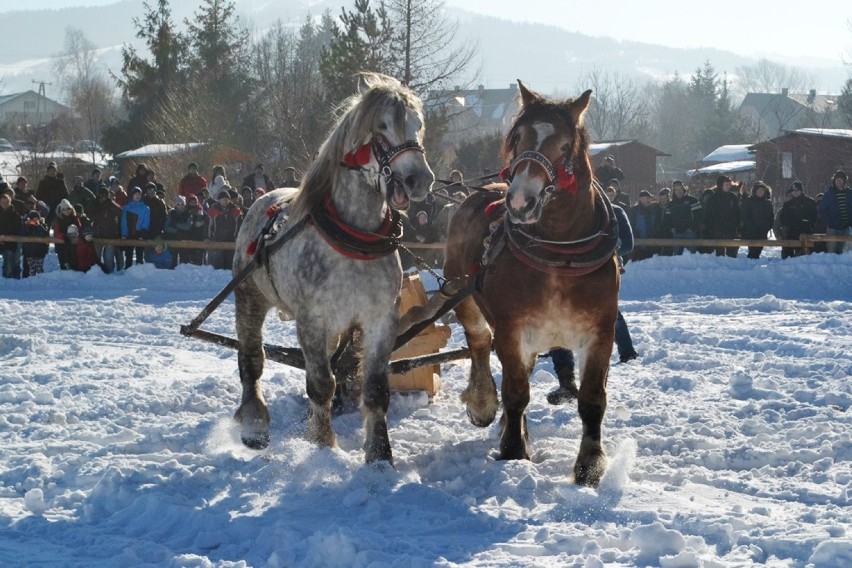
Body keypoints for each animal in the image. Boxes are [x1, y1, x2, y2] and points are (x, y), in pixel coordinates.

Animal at [231, 73, 432, 464]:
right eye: (382, 126)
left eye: (417, 125)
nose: (420, 179)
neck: (354, 236)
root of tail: (264, 197)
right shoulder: (311, 319)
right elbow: (322, 385)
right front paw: (323, 445)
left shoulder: (379, 318)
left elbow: (375, 390)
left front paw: (379, 456)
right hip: (250, 297)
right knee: (252, 360)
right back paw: (254, 424)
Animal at [442, 82, 616, 486]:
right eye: (518, 137)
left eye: (565, 146)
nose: (520, 200)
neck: (561, 256)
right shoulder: (512, 329)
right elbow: (516, 393)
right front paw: (513, 451)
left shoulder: (599, 333)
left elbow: (591, 400)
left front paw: (589, 465)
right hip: (465, 298)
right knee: (479, 344)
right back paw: (484, 404)